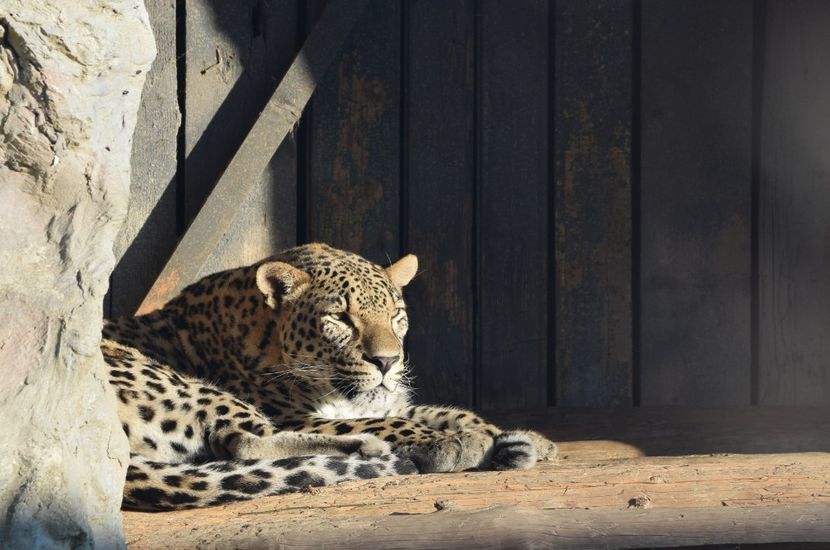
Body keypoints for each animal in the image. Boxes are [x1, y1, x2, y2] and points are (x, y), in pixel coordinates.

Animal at [104, 244, 560, 512]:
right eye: (340, 318)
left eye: (396, 314)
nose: (387, 361)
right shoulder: (295, 414)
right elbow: (390, 421)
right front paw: (450, 443)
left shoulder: (392, 400)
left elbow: (440, 412)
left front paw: (521, 438)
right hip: (181, 385)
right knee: (244, 442)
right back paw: (366, 448)